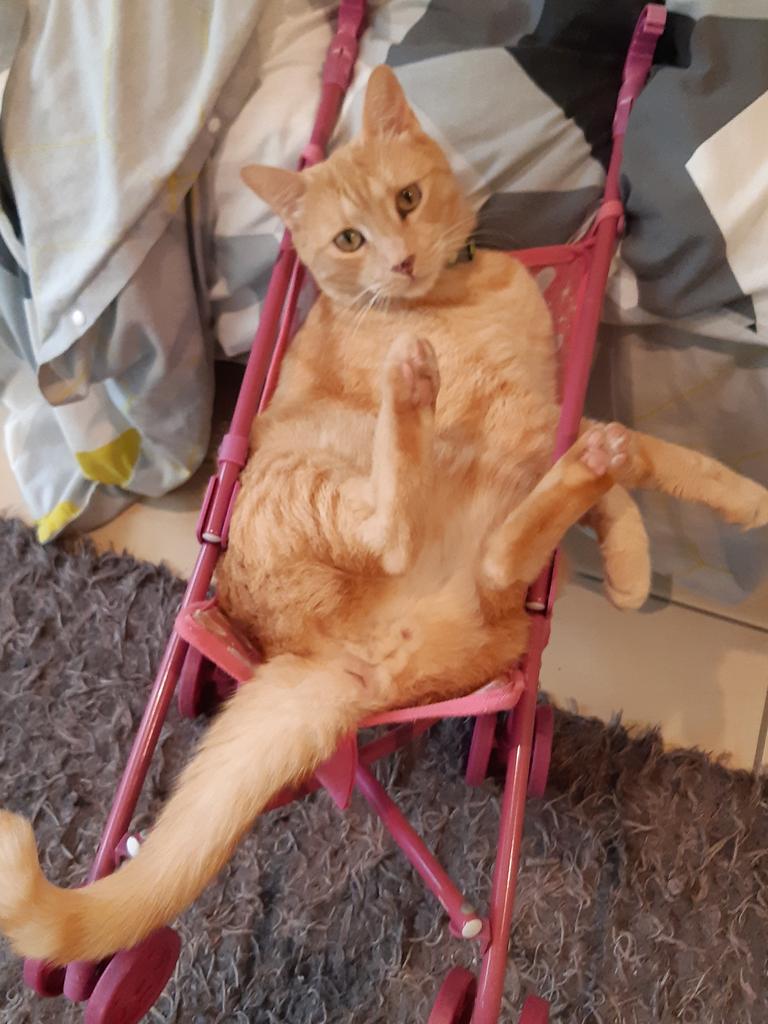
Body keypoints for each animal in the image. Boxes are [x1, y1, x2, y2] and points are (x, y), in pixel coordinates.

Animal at [1, 68, 768, 962]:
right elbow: (651, 451)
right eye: (347, 240)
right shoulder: (528, 422)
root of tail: (328, 667)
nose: (400, 261)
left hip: (493, 607)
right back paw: (417, 392)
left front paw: (635, 561)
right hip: (320, 485)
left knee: (509, 556)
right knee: (429, 535)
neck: (454, 289)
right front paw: (733, 500)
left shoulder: (541, 420)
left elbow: (626, 481)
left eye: (408, 198)